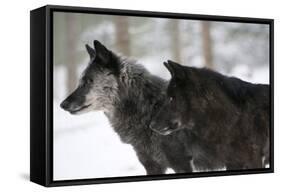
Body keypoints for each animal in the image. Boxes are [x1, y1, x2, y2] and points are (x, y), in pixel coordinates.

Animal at [60, 40, 194, 174]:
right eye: (80, 81)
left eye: (88, 81)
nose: (62, 105)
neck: (149, 109)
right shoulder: (151, 164)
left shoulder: (181, 163)